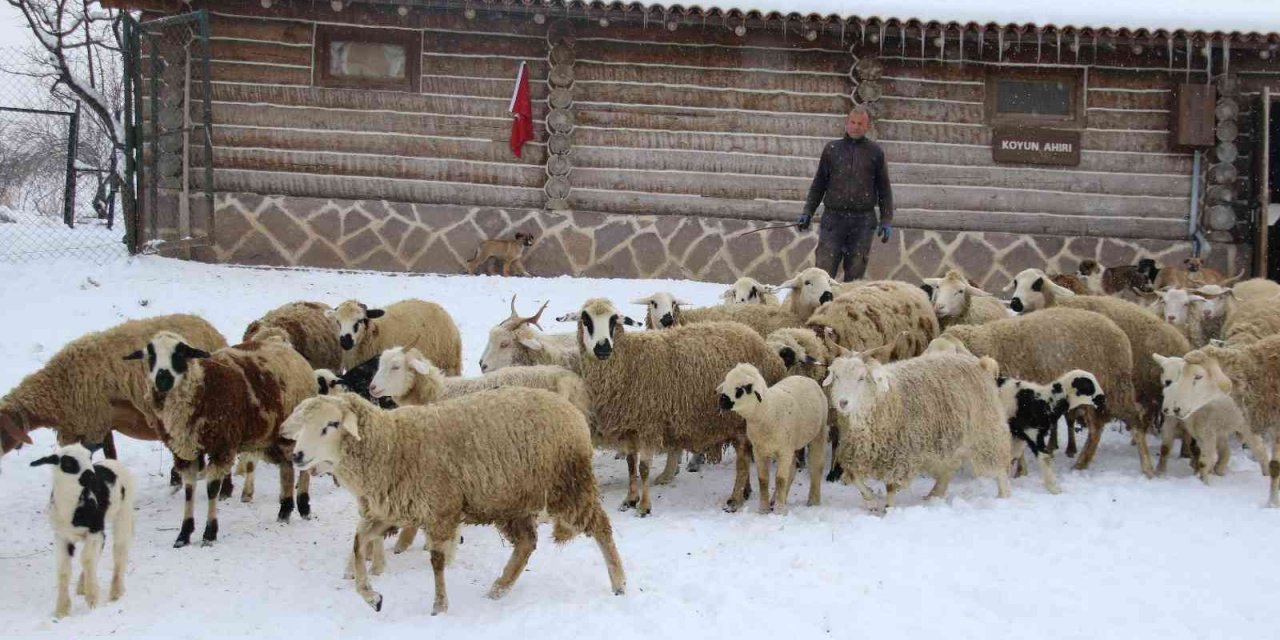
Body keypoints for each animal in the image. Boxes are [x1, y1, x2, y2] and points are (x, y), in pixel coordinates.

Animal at [29, 442, 135, 616]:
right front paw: (61, 609)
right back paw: (81, 586)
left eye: (89, 457)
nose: (91, 476)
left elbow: (86, 559)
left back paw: (116, 591)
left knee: (119, 549)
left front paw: (92, 598)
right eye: (68, 463)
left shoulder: (94, 530)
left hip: (124, 511)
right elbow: (64, 570)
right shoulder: (61, 536)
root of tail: (113, 462)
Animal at [716, 366, 824, 514]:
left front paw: (779, 511)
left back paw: (813, 501)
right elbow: (763, 480)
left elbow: (780, 479)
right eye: (727, 381)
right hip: (791, 445)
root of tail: (805, 377)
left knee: (816, 465)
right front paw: (764, 510)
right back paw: (775, 500)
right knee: (792, 468)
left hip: (818, 433)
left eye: (742, 388)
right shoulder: (759, 450)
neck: (767, 411)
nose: (722, 400)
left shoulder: (784, 451)